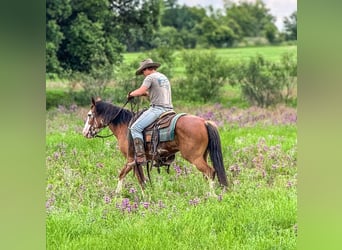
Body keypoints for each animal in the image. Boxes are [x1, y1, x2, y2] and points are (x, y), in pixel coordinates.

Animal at [81, 97, 228, 193]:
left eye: (89, 115)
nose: (84, 132)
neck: (126, 126)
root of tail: (204, 122)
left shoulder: (130, 159)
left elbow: (126, 175)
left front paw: (119, 195)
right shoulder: (136, 161)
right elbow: (138, 178)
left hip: (194, 157)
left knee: (210, 172)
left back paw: (212, 196)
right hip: (203, 156)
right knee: (207, 174)